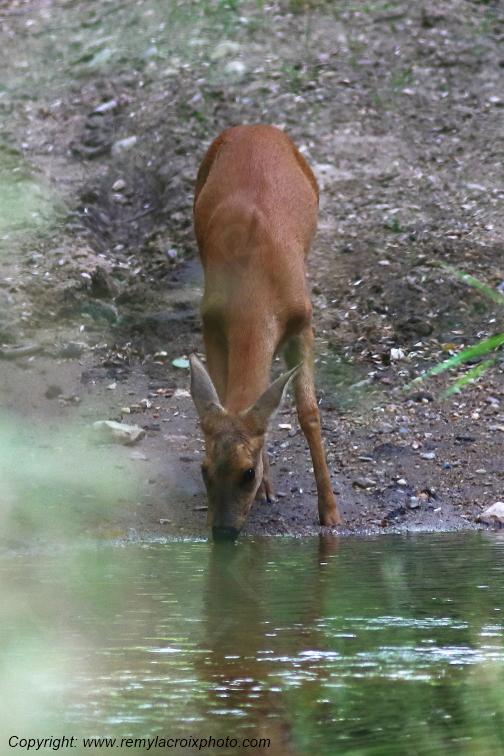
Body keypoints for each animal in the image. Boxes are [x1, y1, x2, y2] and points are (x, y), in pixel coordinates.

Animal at [190, 124, 342, 540]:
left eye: (247, 472)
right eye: (204, 470)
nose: (223, 532)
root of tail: (254, 127)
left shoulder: (304, 323)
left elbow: (309, 412)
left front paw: (330, 513)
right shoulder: (211, 319)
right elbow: (230, 393)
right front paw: (269, 488)